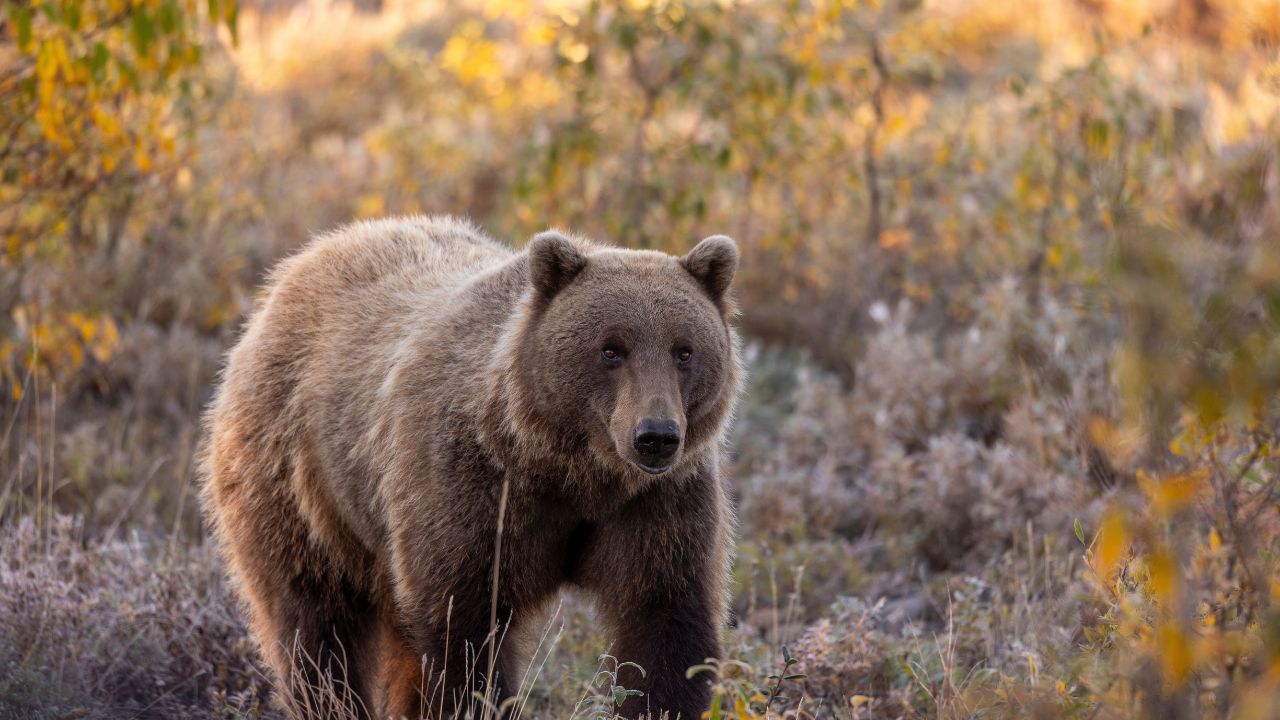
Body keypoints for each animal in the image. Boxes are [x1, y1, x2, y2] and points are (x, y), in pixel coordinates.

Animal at [200, 215, 741, 719]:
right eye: (611, 348)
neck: (570, 467)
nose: (656, 436)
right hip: (296, 479)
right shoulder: (472, 487)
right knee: (312, 622)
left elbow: (665, 621)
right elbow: (463, 629)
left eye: (684, 350)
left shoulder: (656, 503)